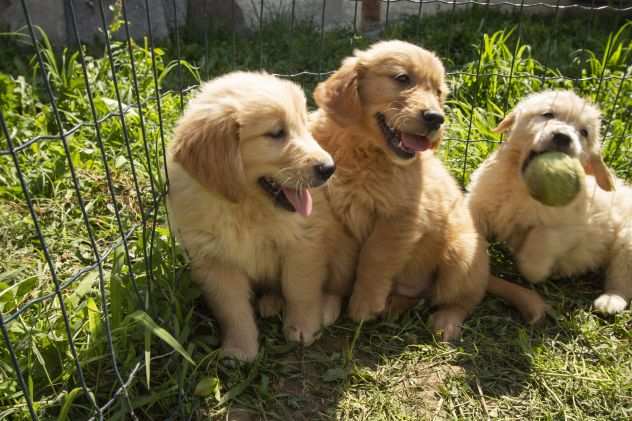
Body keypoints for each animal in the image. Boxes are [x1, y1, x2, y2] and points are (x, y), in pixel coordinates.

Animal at [167, 72, 336, 360]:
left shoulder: (304, 243)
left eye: (303, 125)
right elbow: (232, 309)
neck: (245, 207)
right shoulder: (214, 260)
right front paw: (239, 348)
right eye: (276, 133)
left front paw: (303, 328)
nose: (329, 168)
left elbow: (299, 289)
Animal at [312, 41, 488, 340]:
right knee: (419, 296)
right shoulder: (334, 216)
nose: (436, 118)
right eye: (402, 78)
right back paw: (395, 304)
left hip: (462, 253)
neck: (363, 151)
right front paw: (327, 301)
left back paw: (446, 321)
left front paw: (364, 305)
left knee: (461, 299)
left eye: (438, 91)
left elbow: (375, 257)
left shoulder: (399, 217)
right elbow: (339, 262)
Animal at [466, 90, 628, 316]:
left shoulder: (567, 226)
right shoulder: (479, 203)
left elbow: (534, 255)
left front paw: (544, 269)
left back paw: (611, 300)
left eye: (584, 132)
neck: (521, 187)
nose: (563, 137)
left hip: (627, 239)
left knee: (622, 277)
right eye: (548, 114)